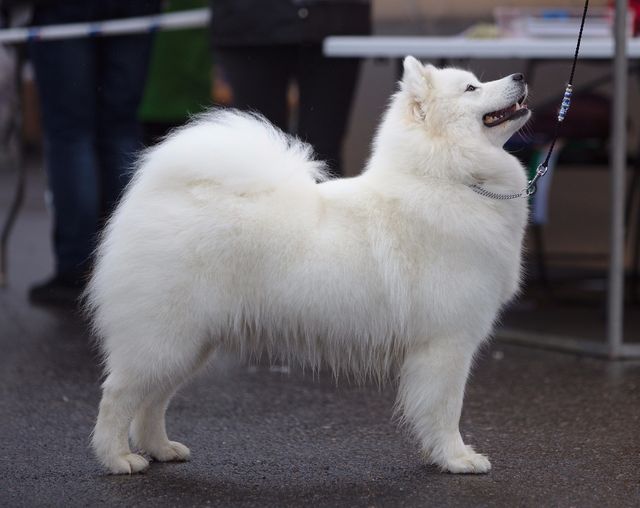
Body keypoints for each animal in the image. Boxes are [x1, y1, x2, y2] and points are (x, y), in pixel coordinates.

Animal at [87, 57, 532, 474]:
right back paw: (118, 458)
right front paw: (457, 459)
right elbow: (445, 409)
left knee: (153, 402)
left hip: (191, 344)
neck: (448, 177)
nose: (520, 76)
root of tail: (158, 196)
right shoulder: (447, 342)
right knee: (117, 396)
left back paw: (161, 449)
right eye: (471, 88)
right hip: (165, 339)